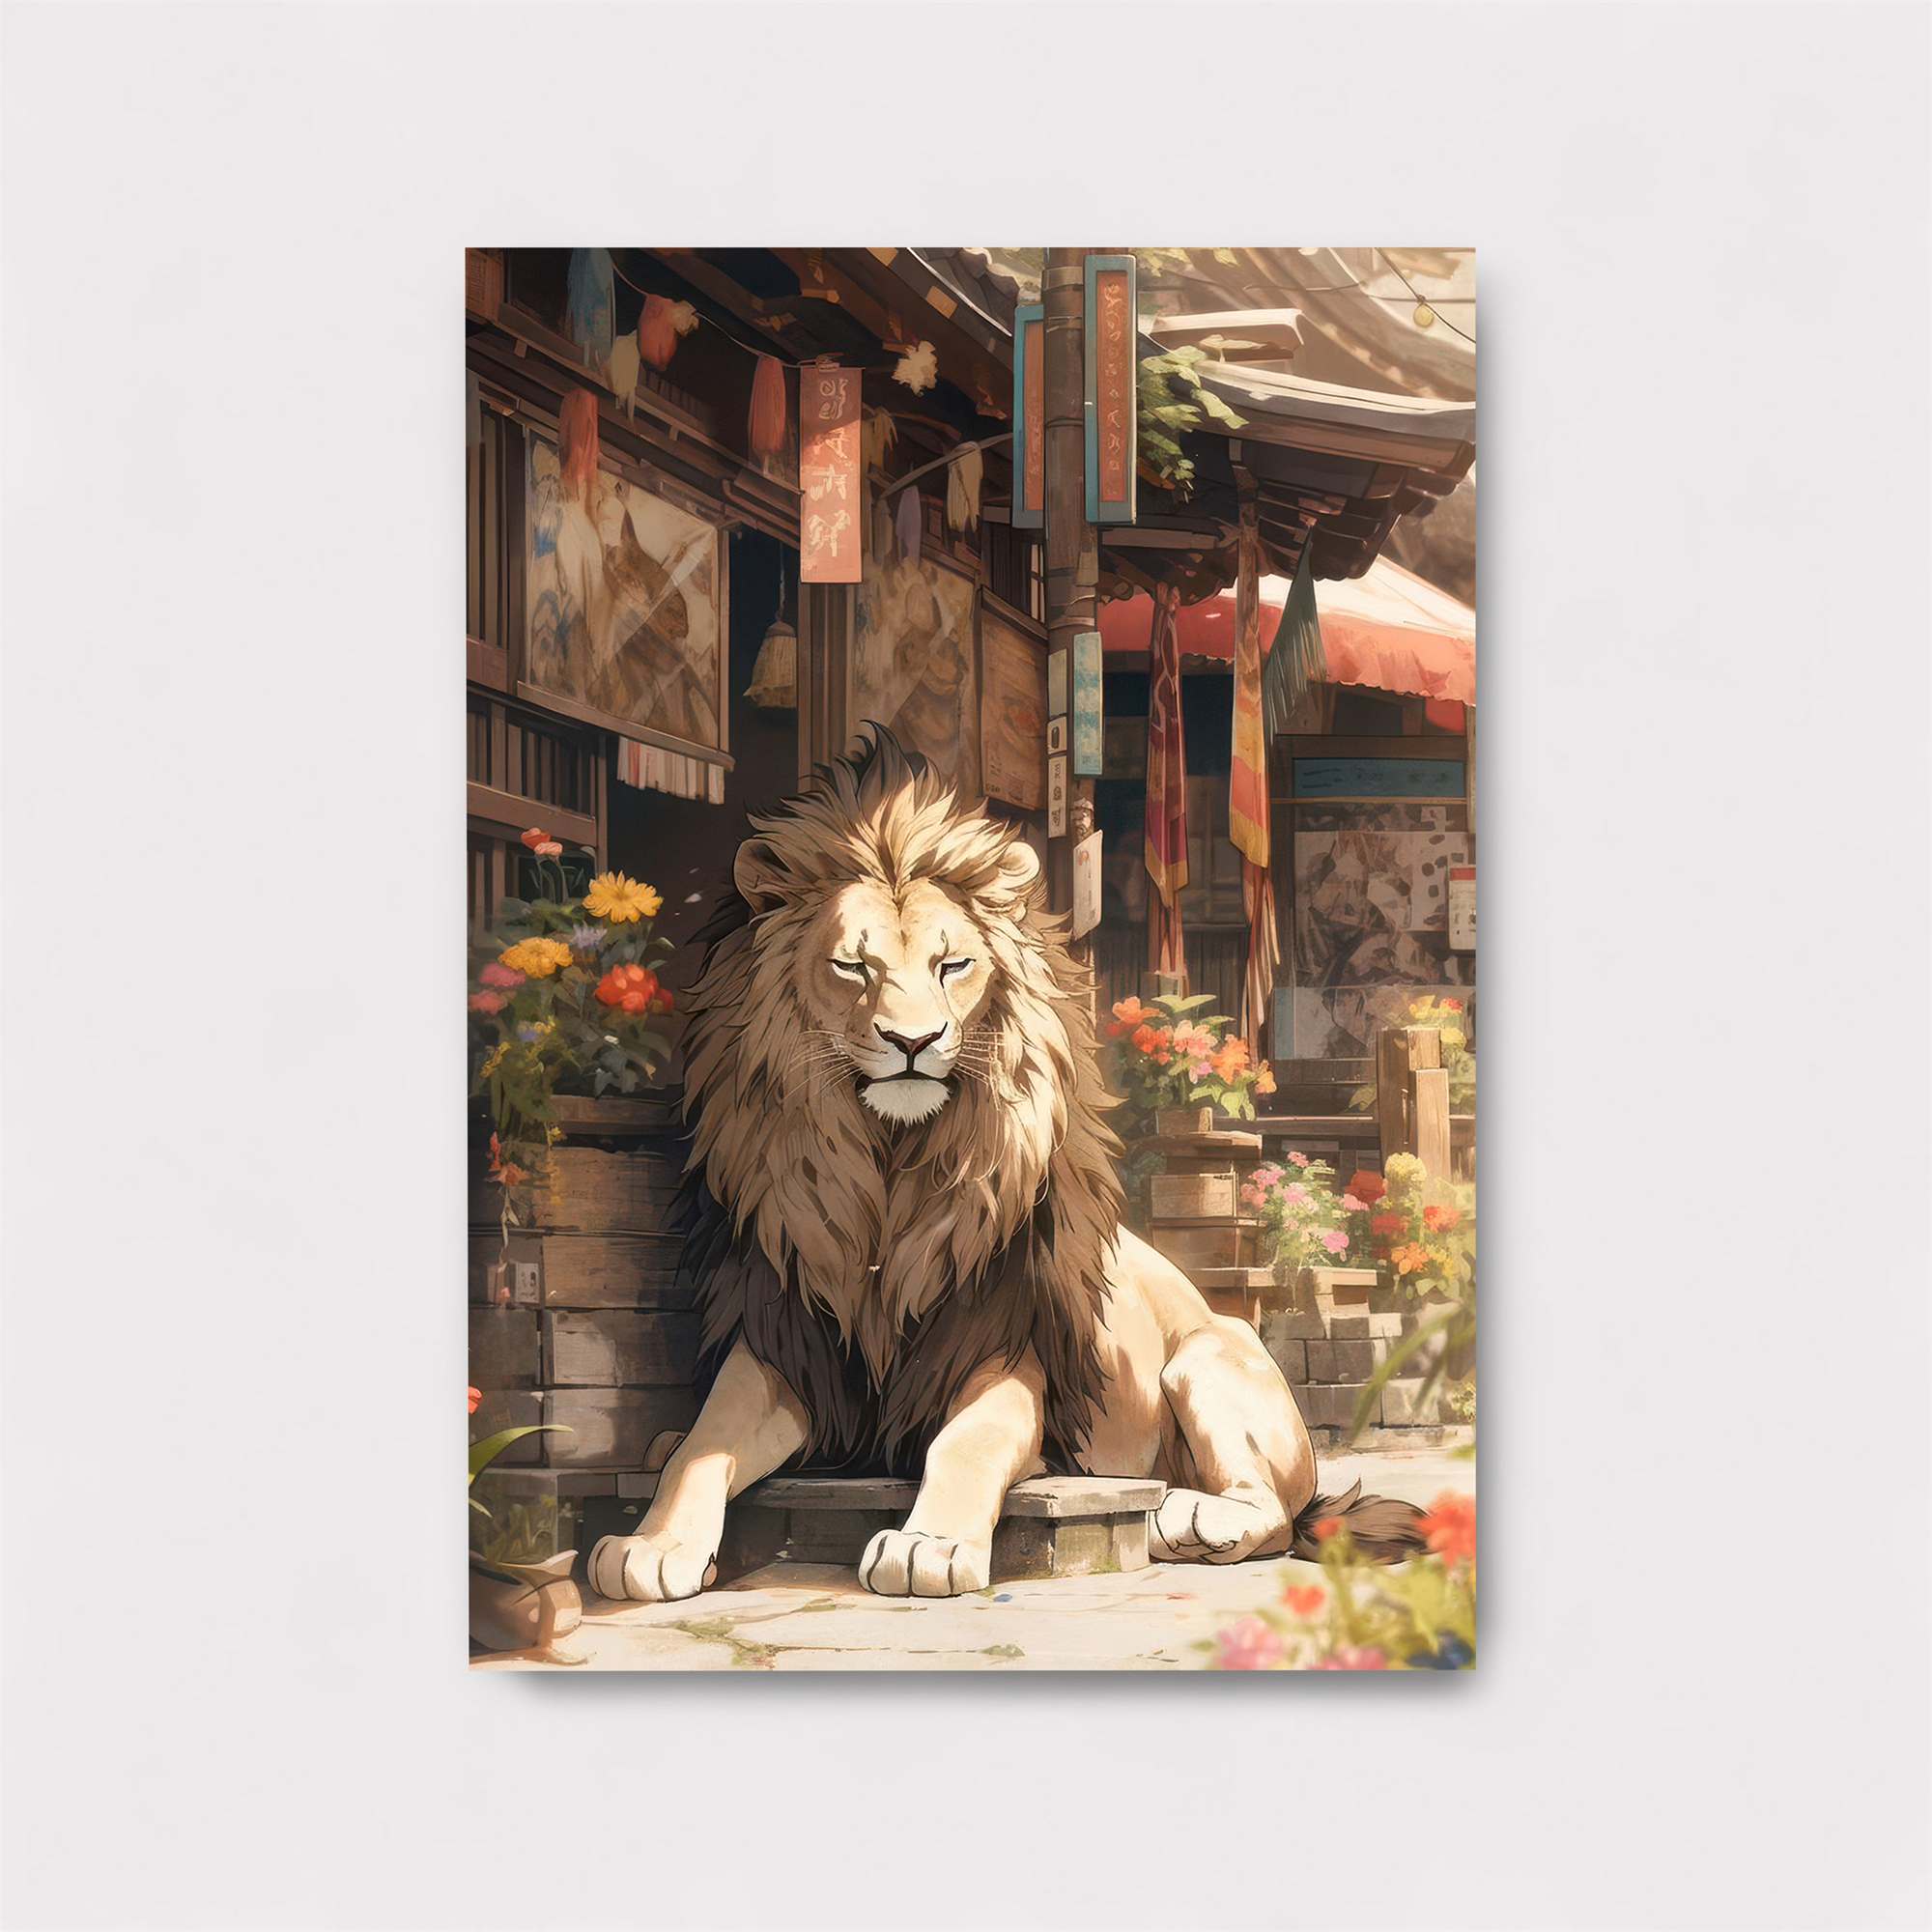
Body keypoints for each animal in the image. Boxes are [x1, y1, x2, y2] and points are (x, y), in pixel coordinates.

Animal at [589, 728, 1422, 1603]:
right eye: (853, 967)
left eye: (952, 966)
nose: (913, 1041)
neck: (888, 1175)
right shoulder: (791, 1343)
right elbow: (702, 1445)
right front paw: (650, 1544)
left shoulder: (1004, 1346)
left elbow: (968, 1441)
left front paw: (927, 1547)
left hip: (1207, 1355)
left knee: (1275, 1513)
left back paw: (1185, 1517)